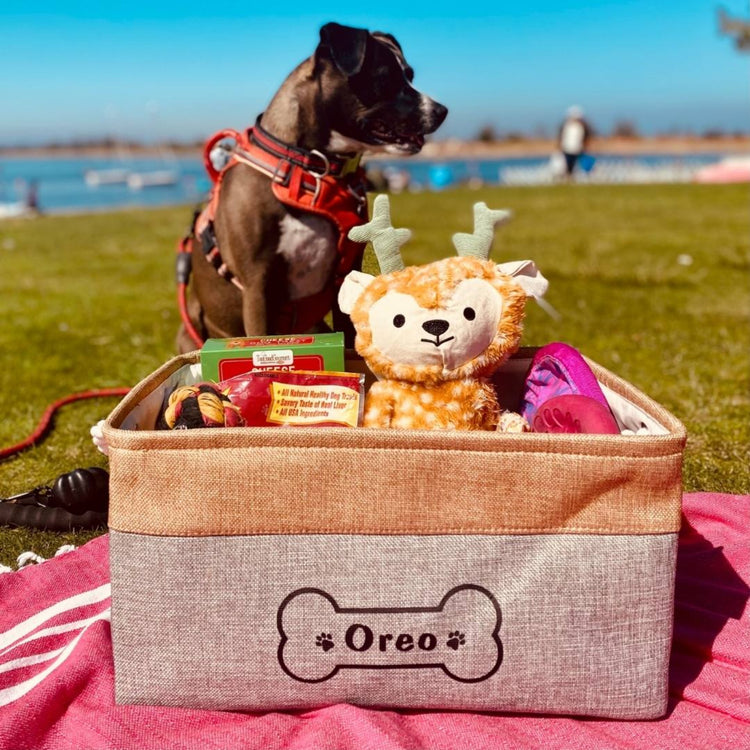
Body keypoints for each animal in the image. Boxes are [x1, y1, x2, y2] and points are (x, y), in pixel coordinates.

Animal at [176, 19, 446, 356]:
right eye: (384, 78)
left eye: (409, 75)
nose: (441, 110)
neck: (311, 169)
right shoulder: (257, 287)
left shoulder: (344, 278)